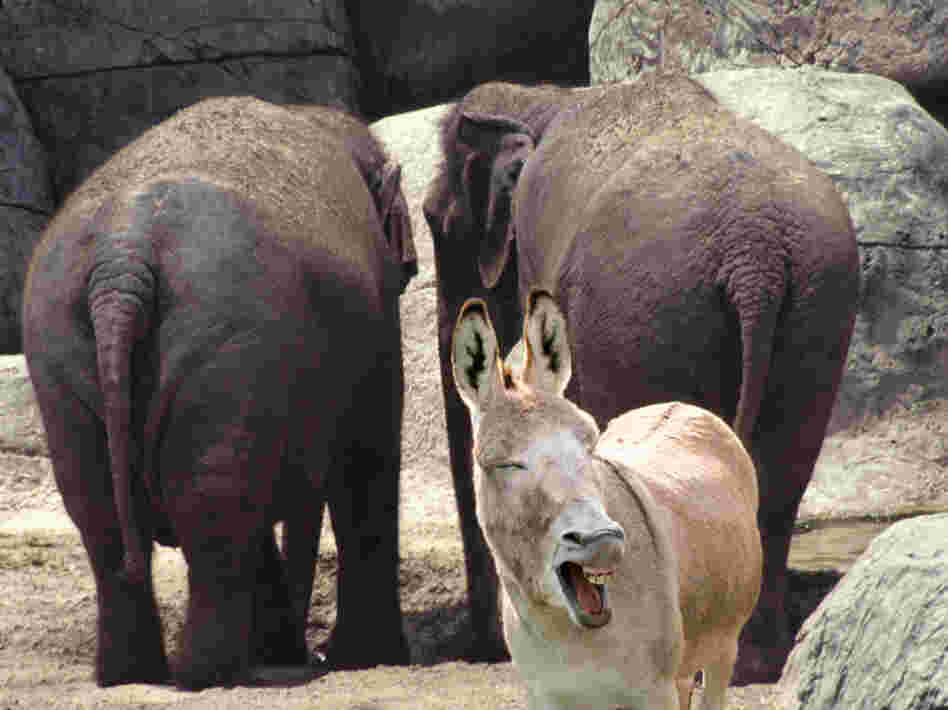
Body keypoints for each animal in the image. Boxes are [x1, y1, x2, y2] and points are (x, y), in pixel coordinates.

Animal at [22, 96, 417, 690]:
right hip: (220, 342)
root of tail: (123, 257)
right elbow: (368, 456)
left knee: (108, 512)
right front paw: (367, 658)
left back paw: (134, 675)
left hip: (66, 349)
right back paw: (213, 674)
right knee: (216, 505)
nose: (311, 653)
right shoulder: (375, 324)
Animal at [423, 75, 859, 683]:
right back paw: (756, 661)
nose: (480, 649)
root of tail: (757, 254)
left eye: (437, 222)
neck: (543, 97)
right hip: (817, 301)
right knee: (782, 472)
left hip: (648, 318)